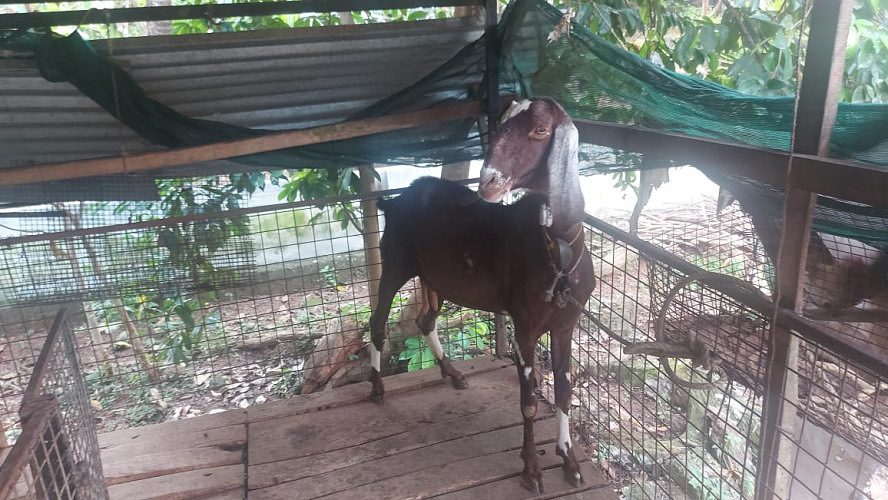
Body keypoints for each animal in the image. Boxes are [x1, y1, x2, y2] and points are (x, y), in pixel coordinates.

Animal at [368, 98, 595, 493]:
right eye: (497, 124)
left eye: (541, 130)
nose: (488, 180)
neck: (559, 255)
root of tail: (396, 200)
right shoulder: (524, 325)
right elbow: (529, 401)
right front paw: (531, 471)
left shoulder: (566, 322)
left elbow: (565, 392)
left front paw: (570, 462)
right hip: (395, 262)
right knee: (378, 321)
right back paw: (378, 388)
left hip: (436, 277)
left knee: (426, 319)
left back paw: (453, 373)